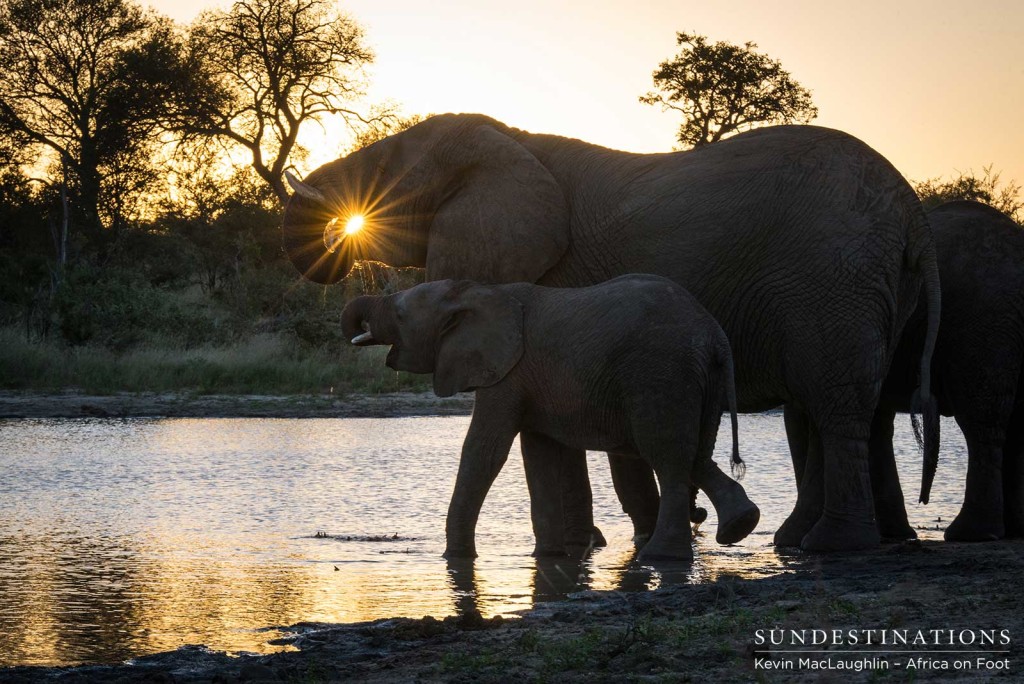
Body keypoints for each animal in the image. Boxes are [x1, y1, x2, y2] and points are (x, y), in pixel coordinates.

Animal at [344, 272, 761, 561]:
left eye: (399, 314)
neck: (473, 290)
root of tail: (713, 333)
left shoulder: (507, 372)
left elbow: (485, 451)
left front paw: (456, 558)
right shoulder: (526, 378)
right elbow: (538, 456)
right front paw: (547, 556)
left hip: (661, 373)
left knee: (668, 456)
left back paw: (661, 557)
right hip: (699, 379)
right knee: (695, 453)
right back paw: (740, 524)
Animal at [864, 200, 1024, 540]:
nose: (923, 500)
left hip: (984, 323)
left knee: (981, 421)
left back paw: (970, 534)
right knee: (1016, 426)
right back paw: (1013, 530)